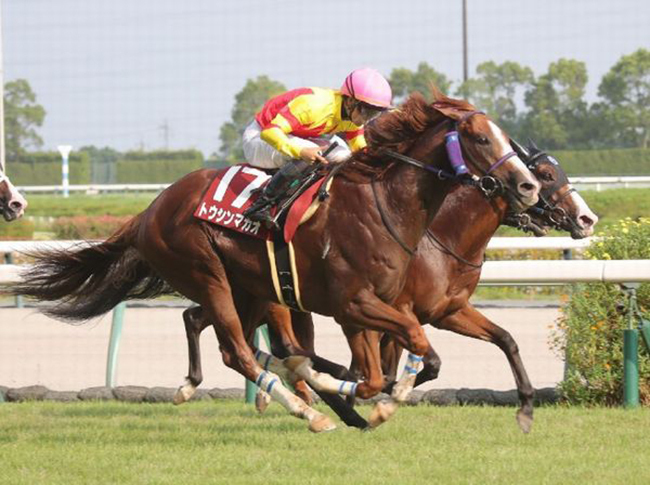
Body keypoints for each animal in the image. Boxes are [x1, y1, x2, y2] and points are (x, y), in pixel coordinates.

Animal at [8, 91, 536, 432]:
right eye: (480, 139)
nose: (528, 186)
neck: (384, 205)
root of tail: (150, 210)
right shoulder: (356, 306)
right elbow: (398, 362)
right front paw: (358, 397)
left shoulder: (372, 310)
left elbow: (384, 370)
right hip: (209, 273)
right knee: (238, 350)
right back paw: (311, 412)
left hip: (251, 289)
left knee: (215, 330)